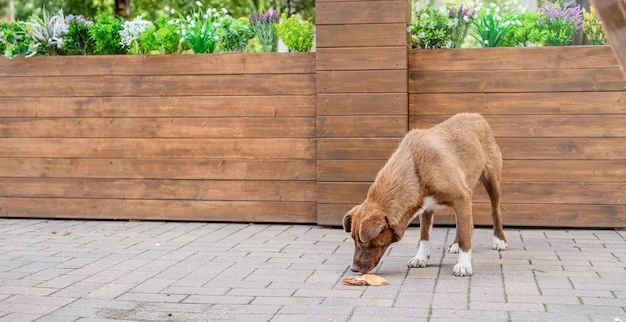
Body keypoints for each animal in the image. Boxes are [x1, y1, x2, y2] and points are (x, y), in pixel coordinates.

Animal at [344, 113, 504, 276]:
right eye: (354, 240)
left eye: (365, 242)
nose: (353, 269)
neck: (416, 168)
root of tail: (476, 115)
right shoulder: (427, 207)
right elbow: (424, 235)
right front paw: (421, 258)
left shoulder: (461, 198)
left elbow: (465, 238)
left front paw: (463, 264)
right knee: (463, 222)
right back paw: (455, 244)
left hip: (492, 181)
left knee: (495, 211)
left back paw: (499, 240)